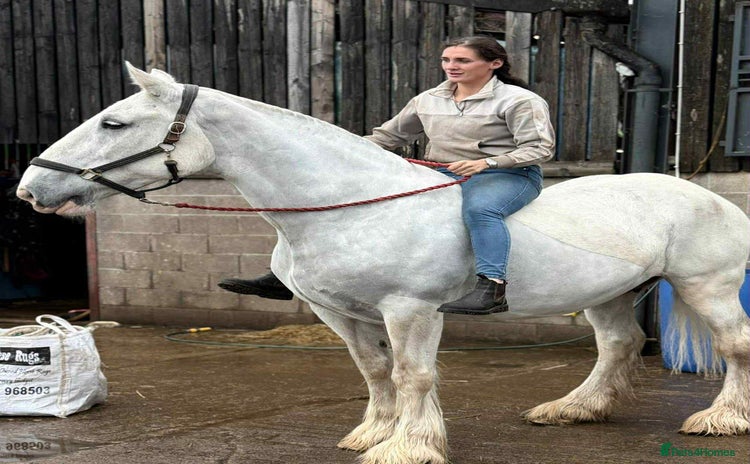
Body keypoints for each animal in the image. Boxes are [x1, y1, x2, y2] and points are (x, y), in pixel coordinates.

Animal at [16, 64, 750, 464]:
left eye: (113, 124)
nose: (31, 187)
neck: (347, 204)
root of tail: (710, 197)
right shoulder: (341, 313)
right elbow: (373, 372)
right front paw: (373, 433)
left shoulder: (411, 309)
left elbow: (412, 373)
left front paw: (410, 444)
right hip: (611, 293)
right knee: (618, 345)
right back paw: (573, 409)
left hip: (706, 287)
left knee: (733, 347)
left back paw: (720, 419)